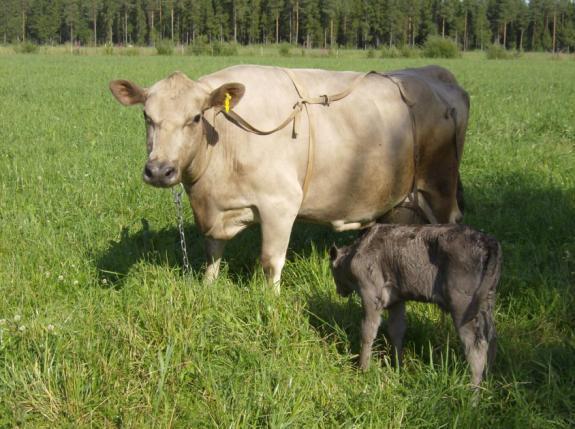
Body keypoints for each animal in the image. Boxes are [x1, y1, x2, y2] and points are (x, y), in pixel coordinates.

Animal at [110, 64, 470, 290]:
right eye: (146, 116)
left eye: (196, 117)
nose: (159, 170)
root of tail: (434, 74)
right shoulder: (215, 207)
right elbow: (212, 250)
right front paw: (207, 286)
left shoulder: (280, 203)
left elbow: (270, 261)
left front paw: (270, 303)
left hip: (439, 185)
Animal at [330, 222, 502, 386]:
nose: (339, 291)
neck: (354, 254)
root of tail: (488, 242)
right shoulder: (396, 300)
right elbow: (396, 330)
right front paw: (398, 367)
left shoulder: (371, 296)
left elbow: (368, 331)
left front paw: (362, 369)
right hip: (486, 303)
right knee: (492, 339)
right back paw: (487, 382)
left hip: (462, 307)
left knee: (476, 347)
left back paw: (472, 390)